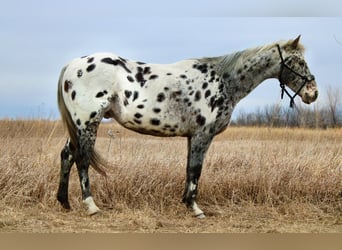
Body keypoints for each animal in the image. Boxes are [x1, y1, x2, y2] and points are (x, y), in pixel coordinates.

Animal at [56, 36, 318, 218]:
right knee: (81, 158)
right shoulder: (203, 135)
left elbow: (188, 169)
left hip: (79, 126)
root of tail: (73, 64)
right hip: (88, 122)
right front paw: (195, 209)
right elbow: (195, 169)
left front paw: (187, 202)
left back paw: (64, 202)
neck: (224, 81)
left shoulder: (193, 136)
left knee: (67, 155)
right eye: (298, 61)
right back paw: (91, 206)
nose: (312, 93)